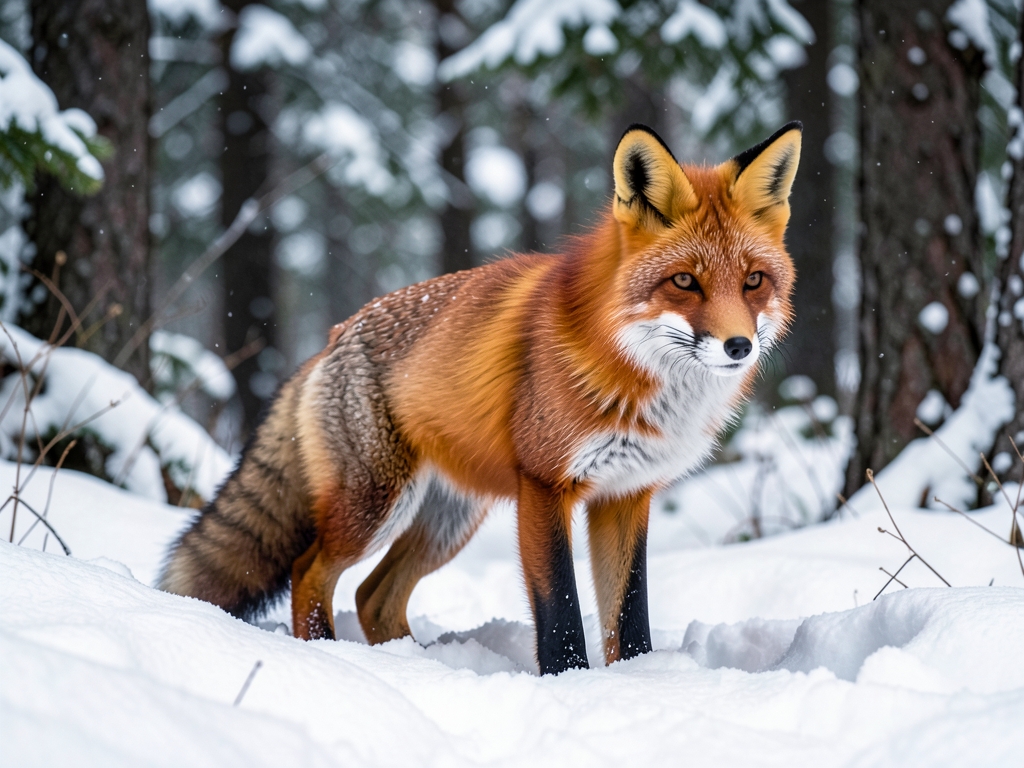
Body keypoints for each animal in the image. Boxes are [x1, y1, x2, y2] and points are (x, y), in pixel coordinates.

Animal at [160, 121, 801, 675]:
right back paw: (333, 657)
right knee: (308, 571)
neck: (634, 372)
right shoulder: (544, 484)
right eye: (685, 282)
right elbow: (561, 612)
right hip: (375, 505)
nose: (739, 346)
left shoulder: (626, 493)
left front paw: (638, 680)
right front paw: (571, 685)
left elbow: (629, 614)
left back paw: (417, 664)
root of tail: (334, 336)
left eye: (753, 281)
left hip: (447, 520)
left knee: (373, 596)